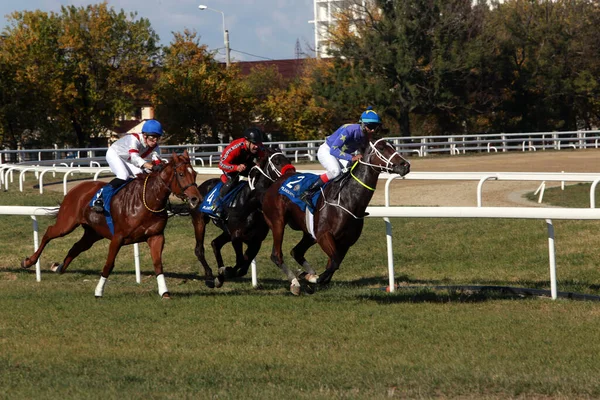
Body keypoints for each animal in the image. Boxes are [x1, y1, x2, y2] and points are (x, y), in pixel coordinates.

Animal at [21, 150, 200, 296]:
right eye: (181, 174)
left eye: (195, 174)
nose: (195, 198)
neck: (147, 200)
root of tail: (76, 189)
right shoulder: (118, 238)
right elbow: (109, 264)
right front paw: (98, 291)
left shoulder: (156, 236)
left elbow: (158, 264)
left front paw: (164, 292)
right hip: (66, 224)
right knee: (49, 232)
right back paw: (29, 261)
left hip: (93, 233)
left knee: (76, 247)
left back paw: (58, 267)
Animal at [191, 147, 294, 288]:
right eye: (277, 161)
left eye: (288, 159)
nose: (292, 173)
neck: (252, 202)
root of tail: (199, 187)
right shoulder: (236, 236)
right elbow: (240, 260)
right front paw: (224, 273)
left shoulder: (256, 240)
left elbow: (243, 266)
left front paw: (223, 274)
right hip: (199, 221)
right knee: (199, 250)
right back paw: (209, 274)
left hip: (226, 231)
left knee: (215, 244)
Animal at [264, 139, 410, 296]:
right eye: (382, 148)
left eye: (393, 146)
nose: (405, 165)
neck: (346, 199)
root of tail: (277, 181)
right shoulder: (324, 236)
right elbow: (334, 263)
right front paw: (310, 278)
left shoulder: (345, 242)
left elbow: (332, 267)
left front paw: (309, 277)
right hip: (278, 222)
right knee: (276, 255)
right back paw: (295, 283)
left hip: (309, 233)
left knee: (296, 252)